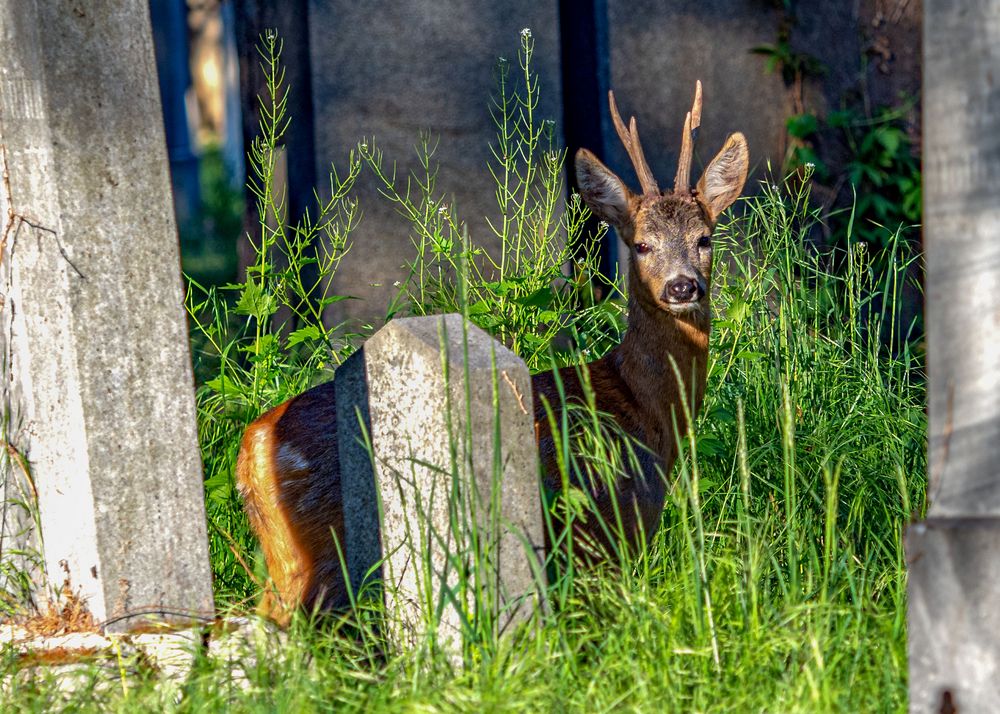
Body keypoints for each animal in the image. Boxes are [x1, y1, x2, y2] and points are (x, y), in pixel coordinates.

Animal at [238, 82, 748, 616]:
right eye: (642, 245)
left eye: (704, 239)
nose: (682, 286)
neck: (641, 409)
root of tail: (249, 451)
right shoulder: (614, 523)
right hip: (328, 553)